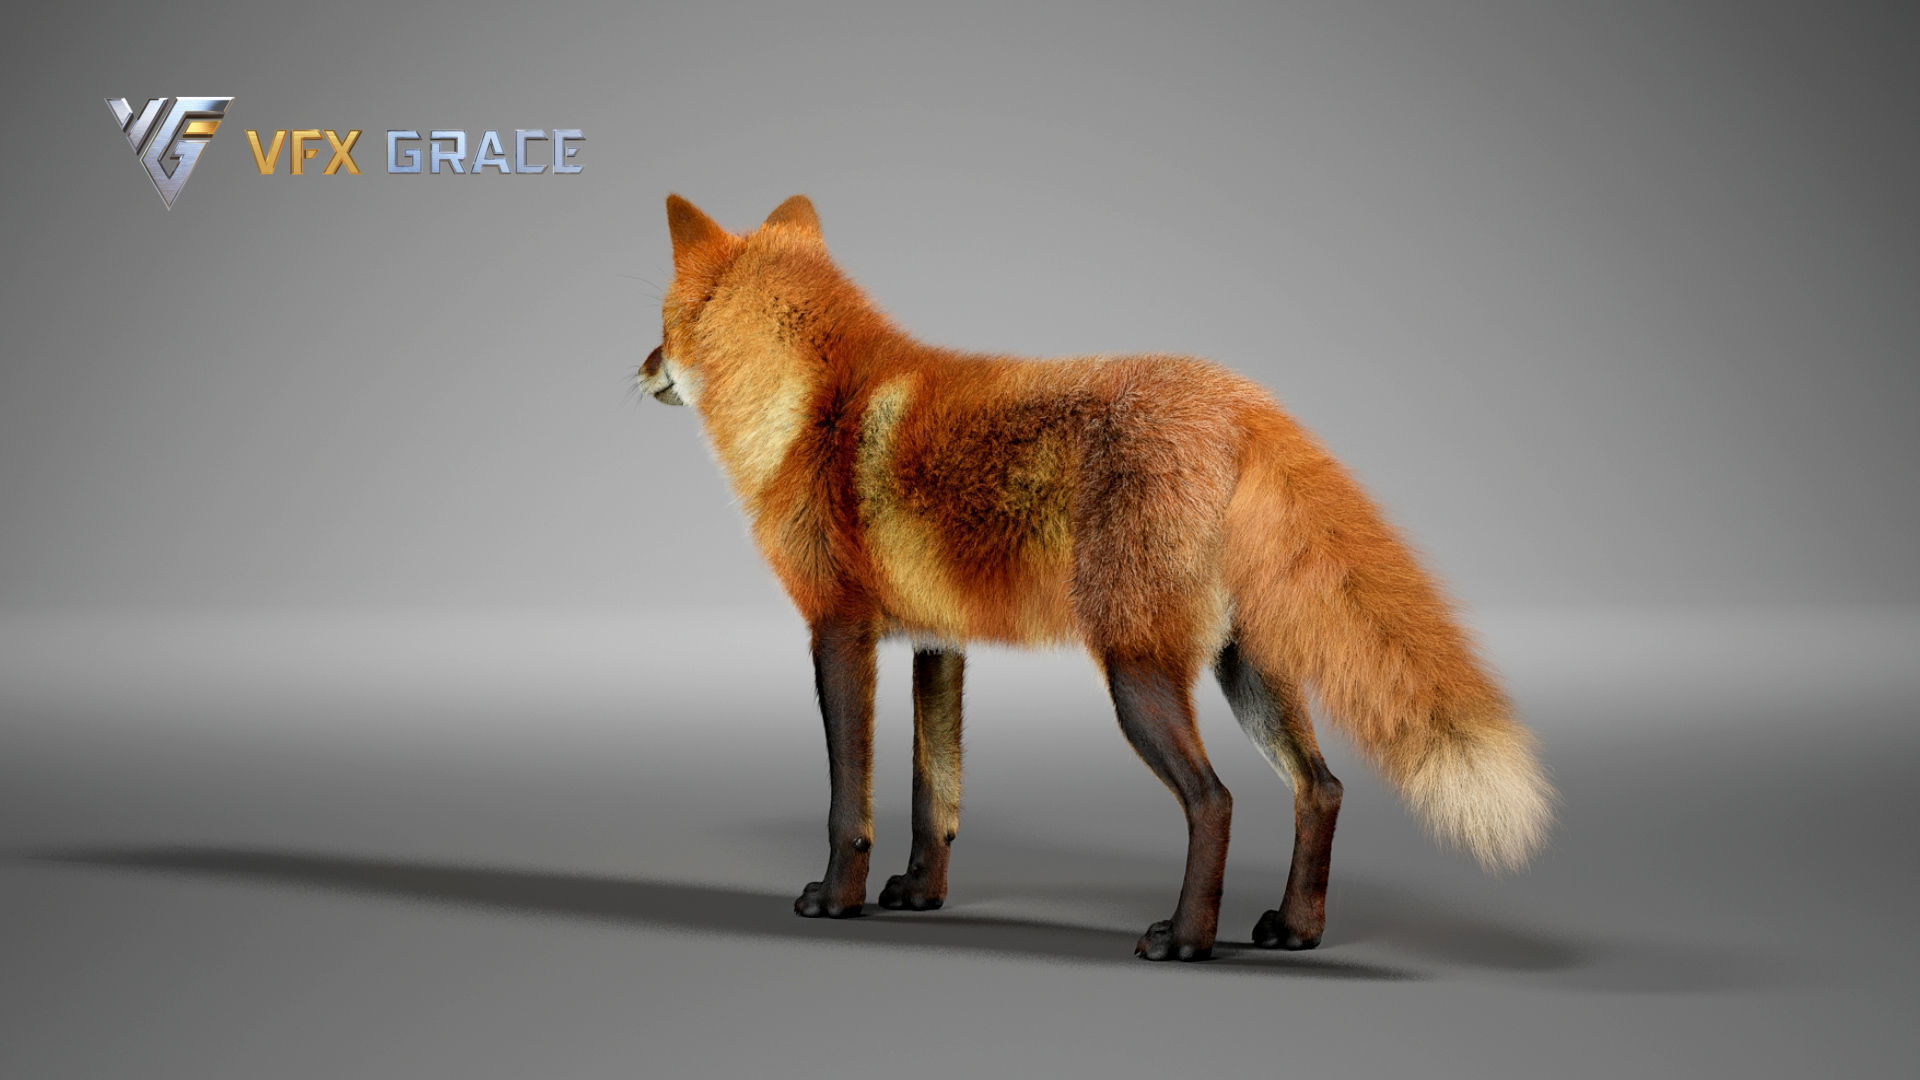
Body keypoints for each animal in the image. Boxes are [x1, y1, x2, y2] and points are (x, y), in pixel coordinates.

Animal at [637, 193, 1555, 961]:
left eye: (663, 321)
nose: (639, 368)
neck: (806, 411)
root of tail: (1240, 400)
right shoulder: (939, 644)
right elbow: (937, 795)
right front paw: (921, 894)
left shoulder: (839, 632)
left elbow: (847, 802)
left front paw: (837, 899)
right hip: (1247, 672)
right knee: (1320, 788)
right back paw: (1296, 929)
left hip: (1136, 672)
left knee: (1215, 801)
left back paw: (1185, 939)